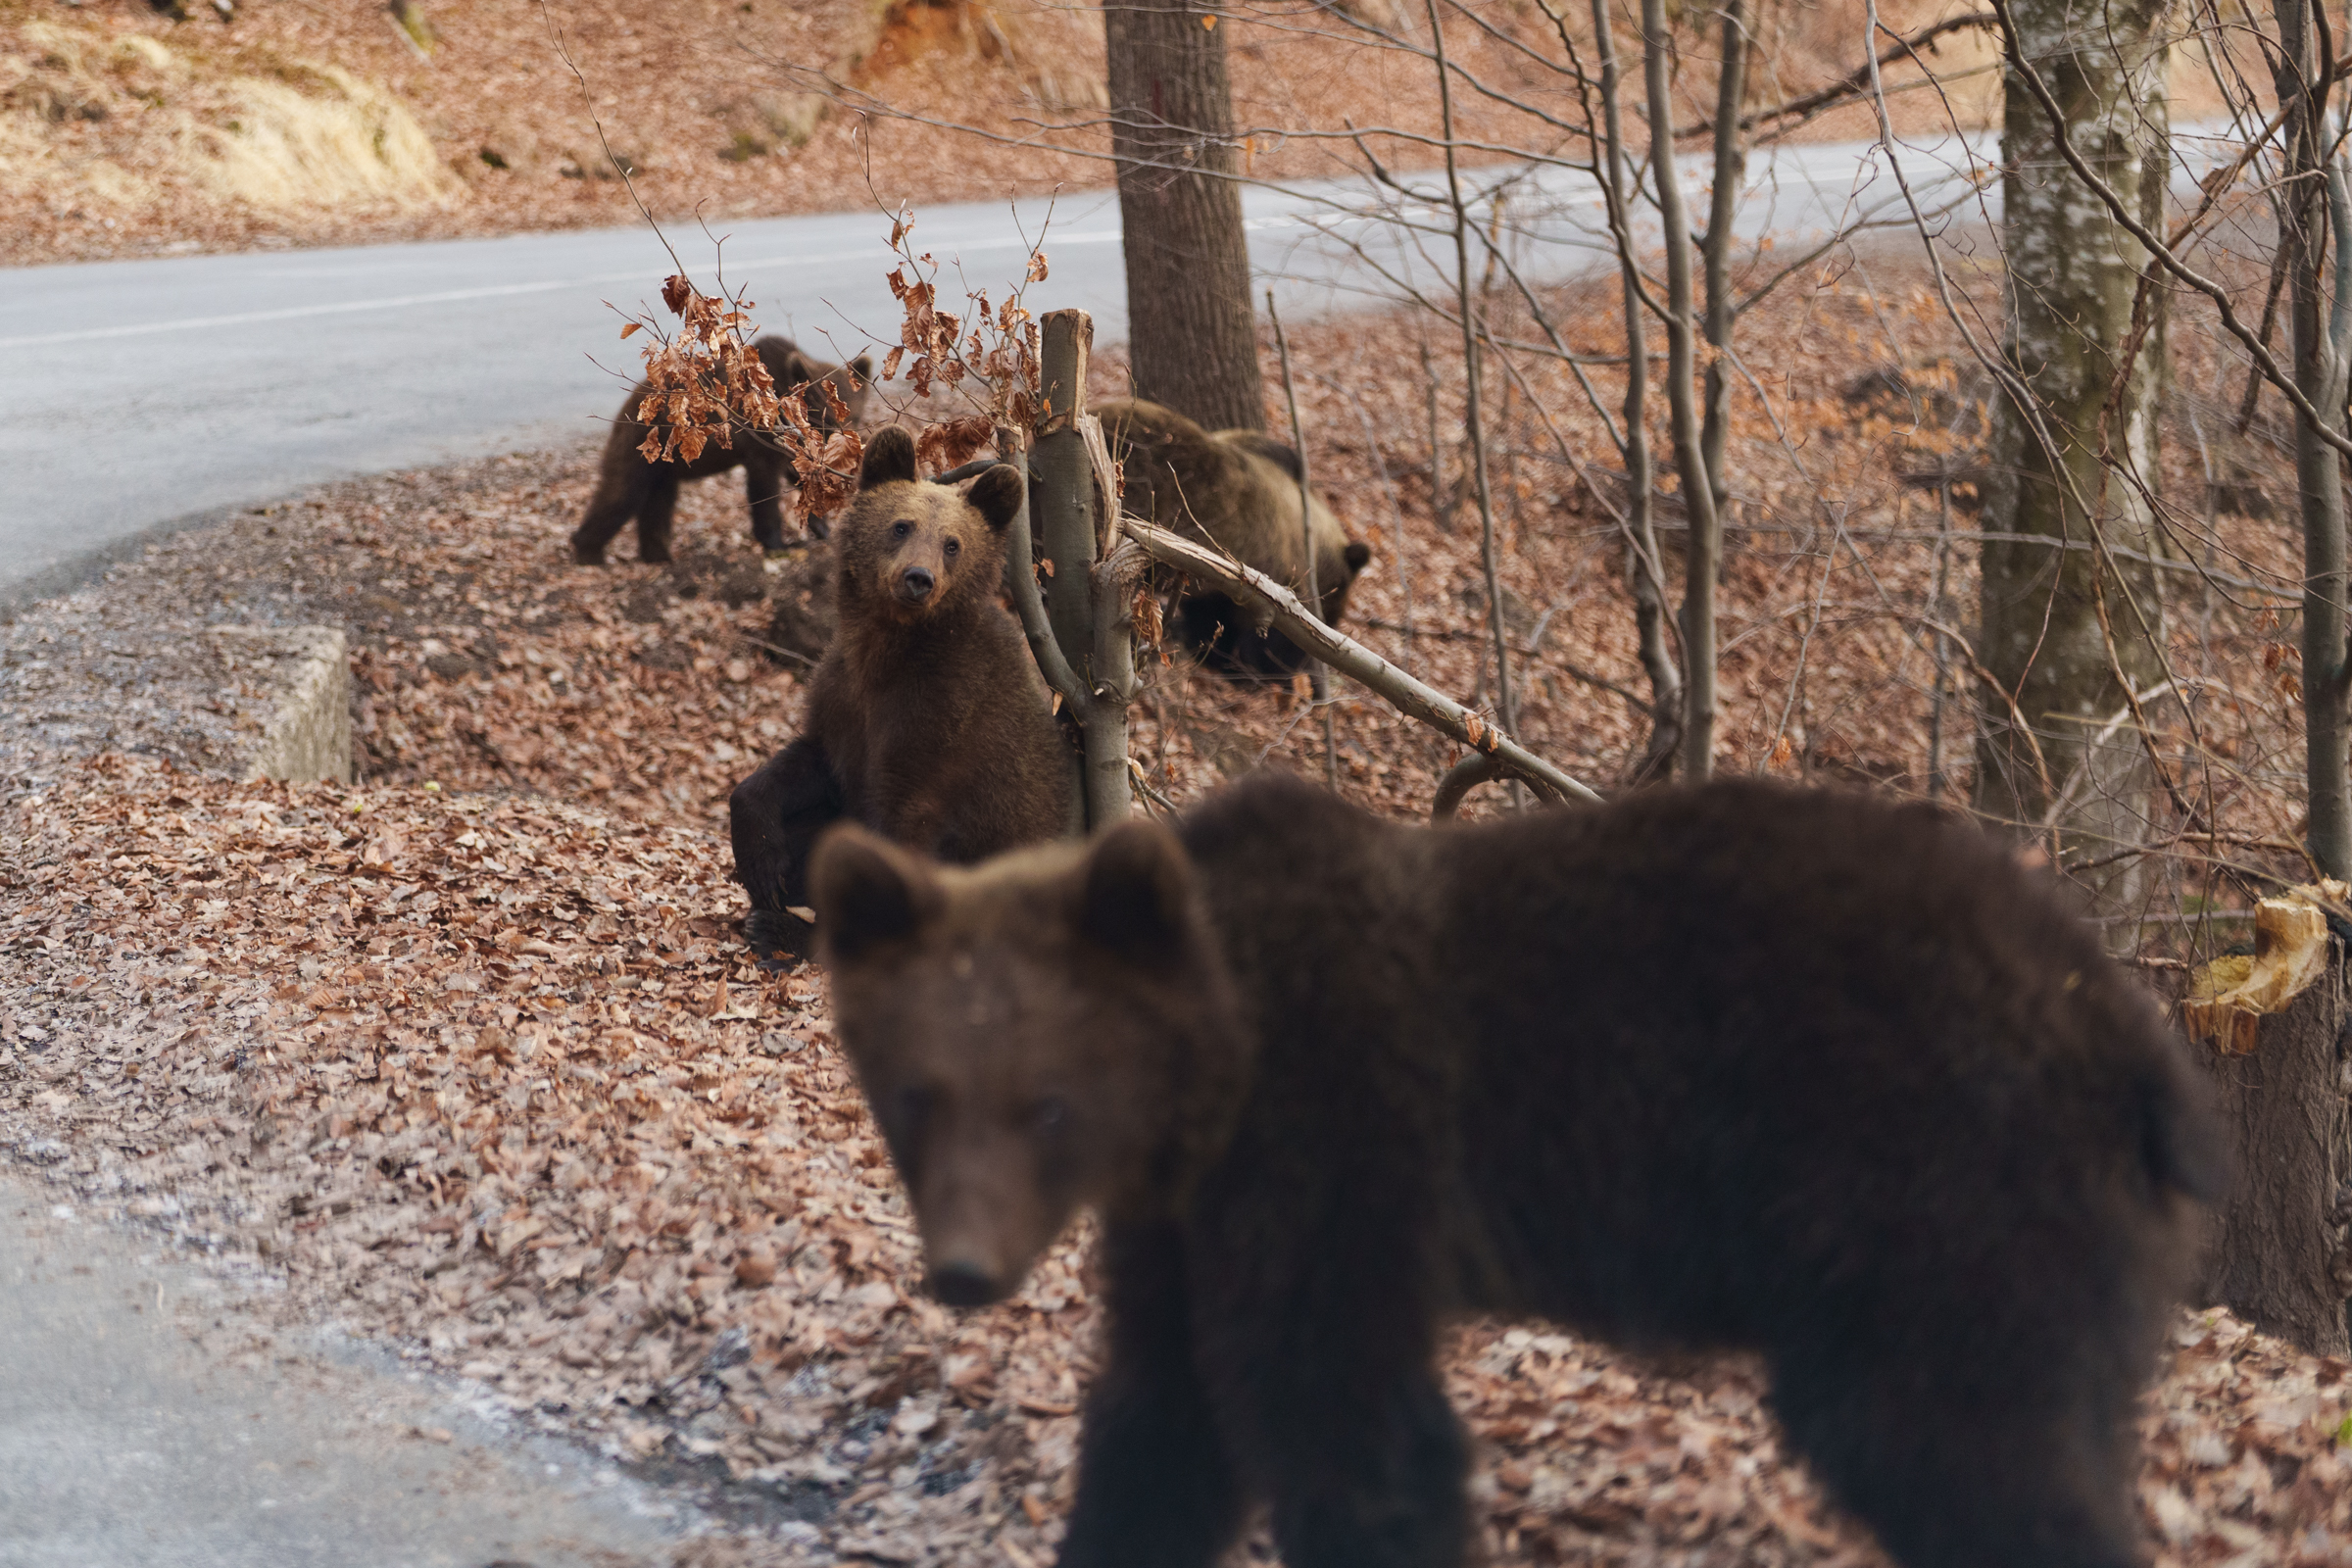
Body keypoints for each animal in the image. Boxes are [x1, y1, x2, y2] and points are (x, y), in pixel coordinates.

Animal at [571, 333, 874, 566]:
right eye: (824, 420)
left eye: (855, 417)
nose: (843, 459)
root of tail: (629, 402)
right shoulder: (758, 440)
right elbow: (765, 488)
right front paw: (780, 542)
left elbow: (802, 477)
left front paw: (822, 527)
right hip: (643, 442)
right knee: (622, 492)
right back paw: (589, 553)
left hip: (666, 463)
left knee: (658, 502)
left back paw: (659, 556)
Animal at [724, 429, 1077, 963]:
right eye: (901, 525)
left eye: (953, 544)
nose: (918, 578)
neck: (889, 650)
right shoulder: (844, 699)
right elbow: (801, 766)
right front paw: (762, 863)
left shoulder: (938, 720)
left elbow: (894, 833)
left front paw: (793, 928)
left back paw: (776, 930)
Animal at [808, 780, 2220, 1568]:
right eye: (916, 1092)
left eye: (1045, 1101)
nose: (965, 1272)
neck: (1216, 1076)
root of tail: (2132, 1031)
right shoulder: (1179, 1227)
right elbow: (1166, 1425)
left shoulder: (1337, 1141)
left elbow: (1352, 1427)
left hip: (1934, 1197)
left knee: (1956, 1439)